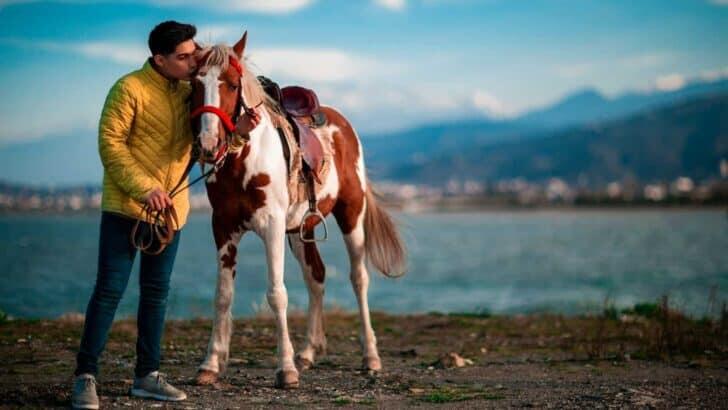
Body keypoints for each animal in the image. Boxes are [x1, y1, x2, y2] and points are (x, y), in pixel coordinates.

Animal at [189, 31, 407, 389]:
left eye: (232, 84)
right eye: (194, 83)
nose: (208, 144)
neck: (245, 159)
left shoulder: (272, 226)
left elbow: (277, 294)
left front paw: (285, 369)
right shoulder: (222, 227)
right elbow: (222, 295)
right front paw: (210, 364)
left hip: (351, 215)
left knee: (358, 278)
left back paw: (370, 356)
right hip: (300, 230)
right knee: (315, 276)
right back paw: (308, 352)